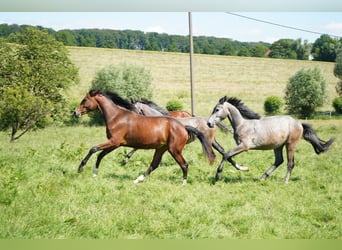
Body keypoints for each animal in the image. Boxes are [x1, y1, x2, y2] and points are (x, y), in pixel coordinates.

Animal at [74, 89, 215, 184]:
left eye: (84, 100)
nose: (75, 112)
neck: (116, 117)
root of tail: (183, 127)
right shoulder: (115, 143)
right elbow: (100, 154)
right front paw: (94, 173)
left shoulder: (114, 141)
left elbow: (93, 149)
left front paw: (80, 168)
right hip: (161, 149)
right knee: (154, 164)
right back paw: (138, 179)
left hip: (174, 150)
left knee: (184, 164)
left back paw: (183, 183)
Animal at [207, 95, 336, 184]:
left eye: (217, 109)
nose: (209, 123)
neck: (242, 124)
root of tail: (299, 123)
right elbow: (228, 156)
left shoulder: (244, 146)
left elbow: (226, 155)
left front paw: (218, 176)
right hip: (278, 146)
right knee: (279, 161)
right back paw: (262, 177)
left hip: (290, 145)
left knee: (290, 163)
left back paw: (285, 181)